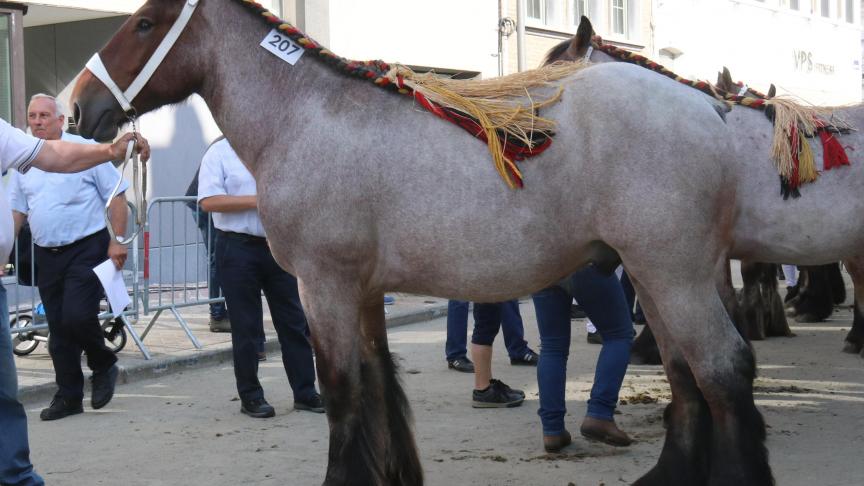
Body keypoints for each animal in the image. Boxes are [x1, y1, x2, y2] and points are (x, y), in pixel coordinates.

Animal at [71, 0, 860, 486]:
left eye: (144, 23)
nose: (79, 106)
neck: (310, 118)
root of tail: (711, 114)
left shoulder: (323, 286)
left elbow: (344, 389)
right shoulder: (361, 292)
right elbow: (380, 384)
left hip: (673, 273)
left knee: (723, 370)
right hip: (661, 275)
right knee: (692, 373)